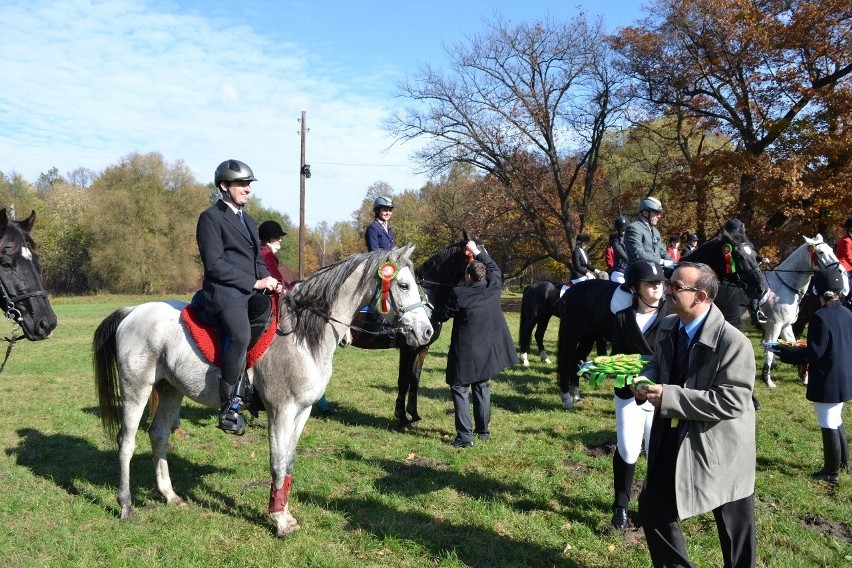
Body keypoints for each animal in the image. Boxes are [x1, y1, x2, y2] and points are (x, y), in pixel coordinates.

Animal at [348, 231, 480, 426]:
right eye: (474, 253)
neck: (427, 299)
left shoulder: (423, 347)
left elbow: (415, 379)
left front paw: (413, 413)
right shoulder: (408, 347)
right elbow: (403, 380)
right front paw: (401, 416)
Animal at [556, 223, 768, 408]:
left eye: (754, 254)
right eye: (738, 255)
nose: (761, 289)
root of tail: (572, 291)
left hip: (589, 334)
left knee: (577, 357)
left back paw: (576, 395)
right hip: (572, 331)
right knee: (567, 358)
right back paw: (566, 398)